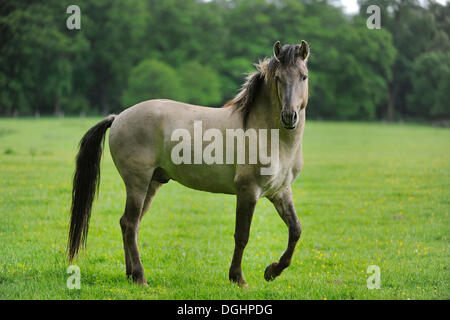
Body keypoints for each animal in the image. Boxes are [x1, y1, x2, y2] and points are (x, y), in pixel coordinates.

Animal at [68, 40, 310, 288]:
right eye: (278, 78)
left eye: (304, 76)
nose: (289, 116)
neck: (268, 135)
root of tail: (118, 117)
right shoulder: (248, 191)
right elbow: (242, 235)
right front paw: (238, 278)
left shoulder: (280, 191)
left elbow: (296, 229)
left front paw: (272, 271)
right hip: (137, 183)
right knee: (130, 224)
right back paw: (141, 277)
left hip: (152, 183)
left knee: (128, 224)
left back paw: (131, 274)